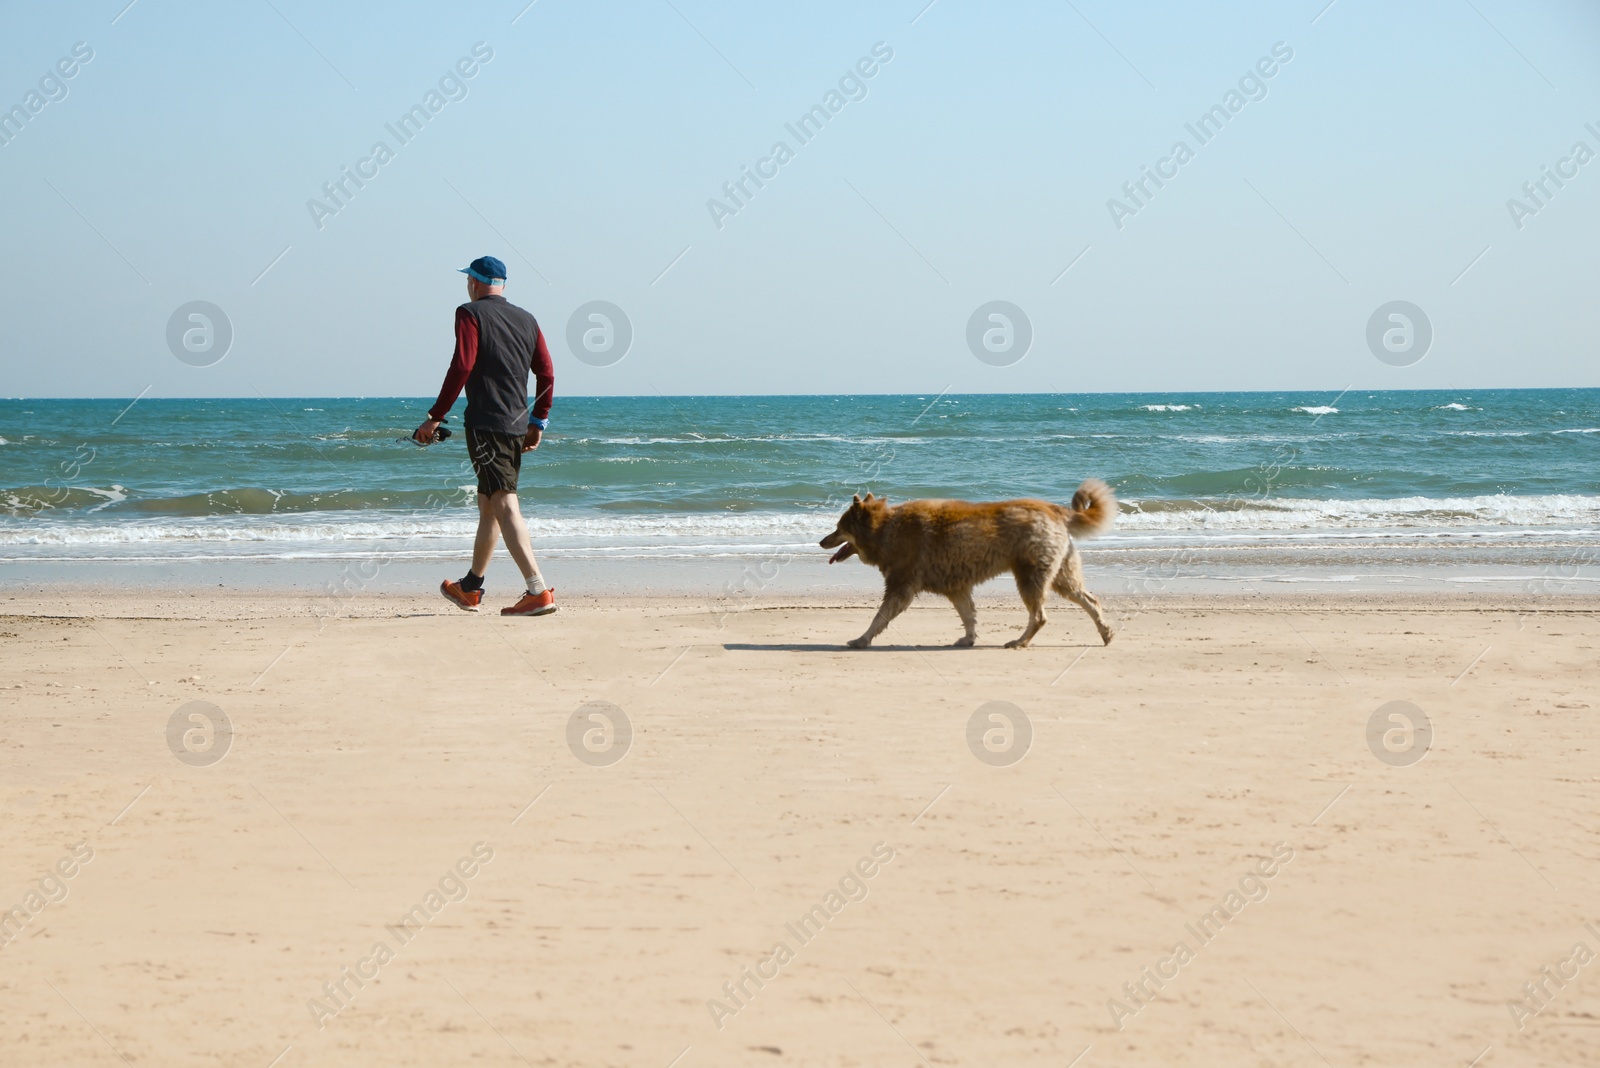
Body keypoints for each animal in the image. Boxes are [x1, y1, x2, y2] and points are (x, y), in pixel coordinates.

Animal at [819, 479, 1120, 645]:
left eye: (838, 528)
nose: (821, 541)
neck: (885, 529)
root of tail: (1055, 509)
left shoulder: (900, 587)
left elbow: (878, 618)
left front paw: (862, 640)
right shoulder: (957, 588)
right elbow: (968, 616)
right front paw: (968, 638)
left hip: (1030, 577)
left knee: (1040, 616)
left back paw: (1020, 642)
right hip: (1061, 577)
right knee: (1091, 600)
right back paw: (1105, 633)